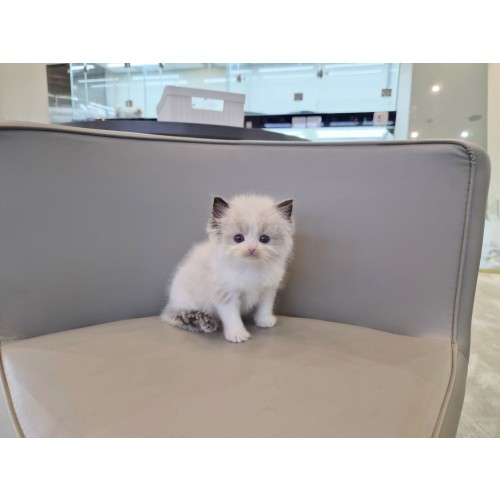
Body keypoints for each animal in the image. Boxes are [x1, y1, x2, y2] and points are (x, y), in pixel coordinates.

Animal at [160, 194, 294, 343]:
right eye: (238, 238)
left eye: (264, 239)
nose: (252, 249)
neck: (249, 268)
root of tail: (171, 303)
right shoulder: (226, 294)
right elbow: (232, 317)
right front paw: (237, 334)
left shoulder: (268, 290)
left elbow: (264, 307)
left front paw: (264, 321)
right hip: (186, 303)